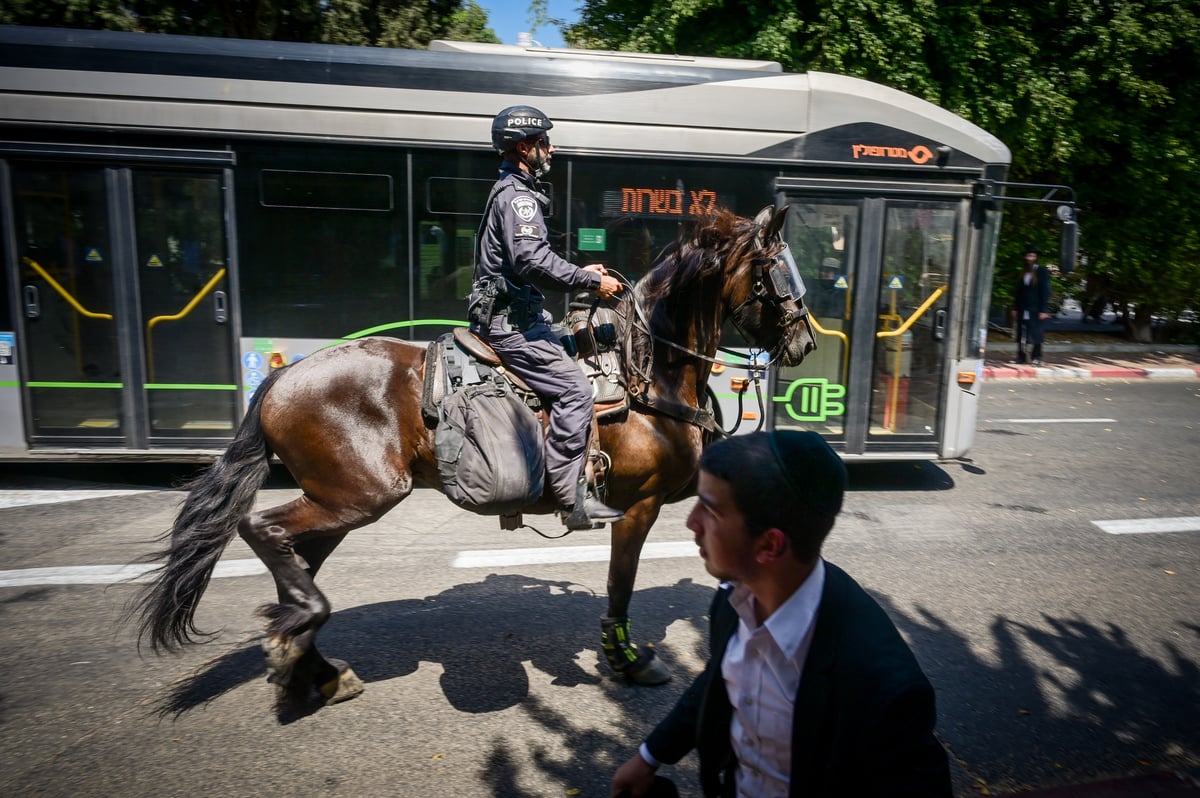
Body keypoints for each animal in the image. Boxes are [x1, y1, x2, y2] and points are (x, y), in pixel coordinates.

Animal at [133, 205, 816, 710]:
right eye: (781, 270)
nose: (805, 342)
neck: (645, 369)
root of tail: (281, 377)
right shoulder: (638, 506)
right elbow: (620, 587)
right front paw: (626, 659)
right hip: (359, 495)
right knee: (261, 528)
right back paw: (298, 638)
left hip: (336, 502)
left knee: (293, 559)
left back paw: (312, 662)